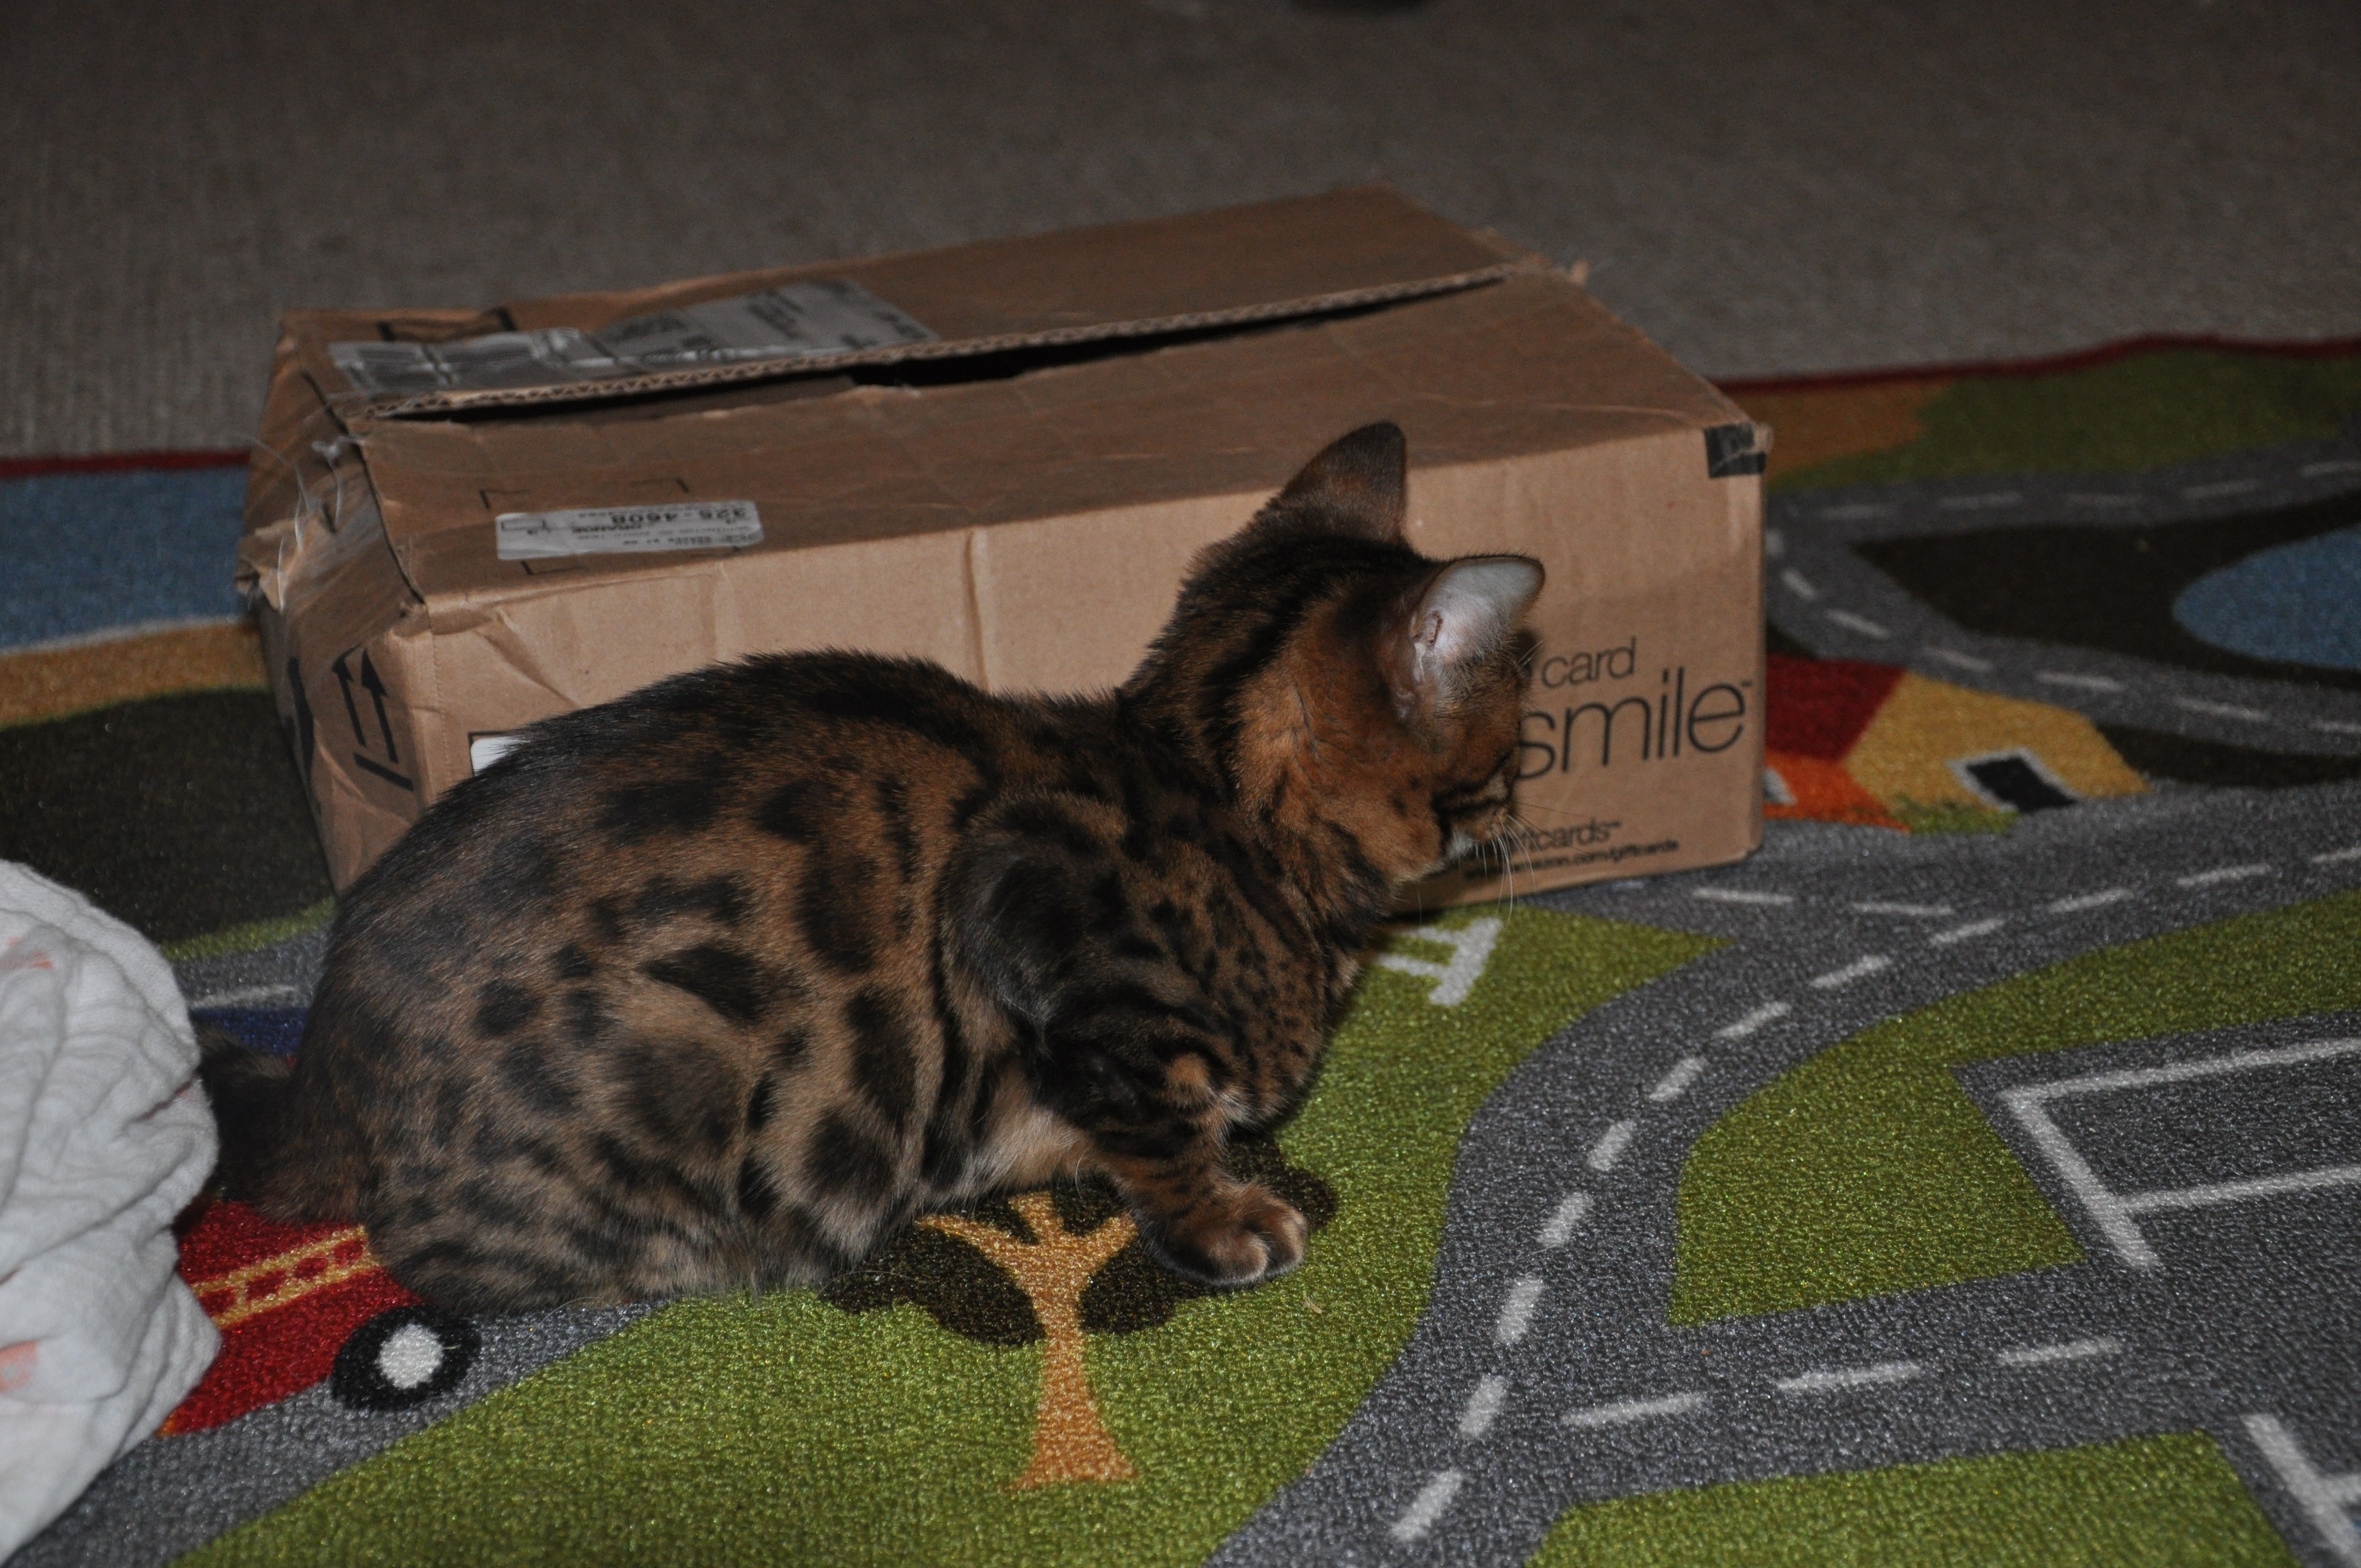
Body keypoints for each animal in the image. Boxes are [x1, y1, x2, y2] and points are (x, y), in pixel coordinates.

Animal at [201, 421, 1543, 1313]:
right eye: (1515, 723)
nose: (1525, 798)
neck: (1220, 792)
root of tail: (322, 1060)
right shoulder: (1031, 911)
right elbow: (1151, 1117)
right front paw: (1218, 1214)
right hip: (673, 1070)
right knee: (429, 1258)